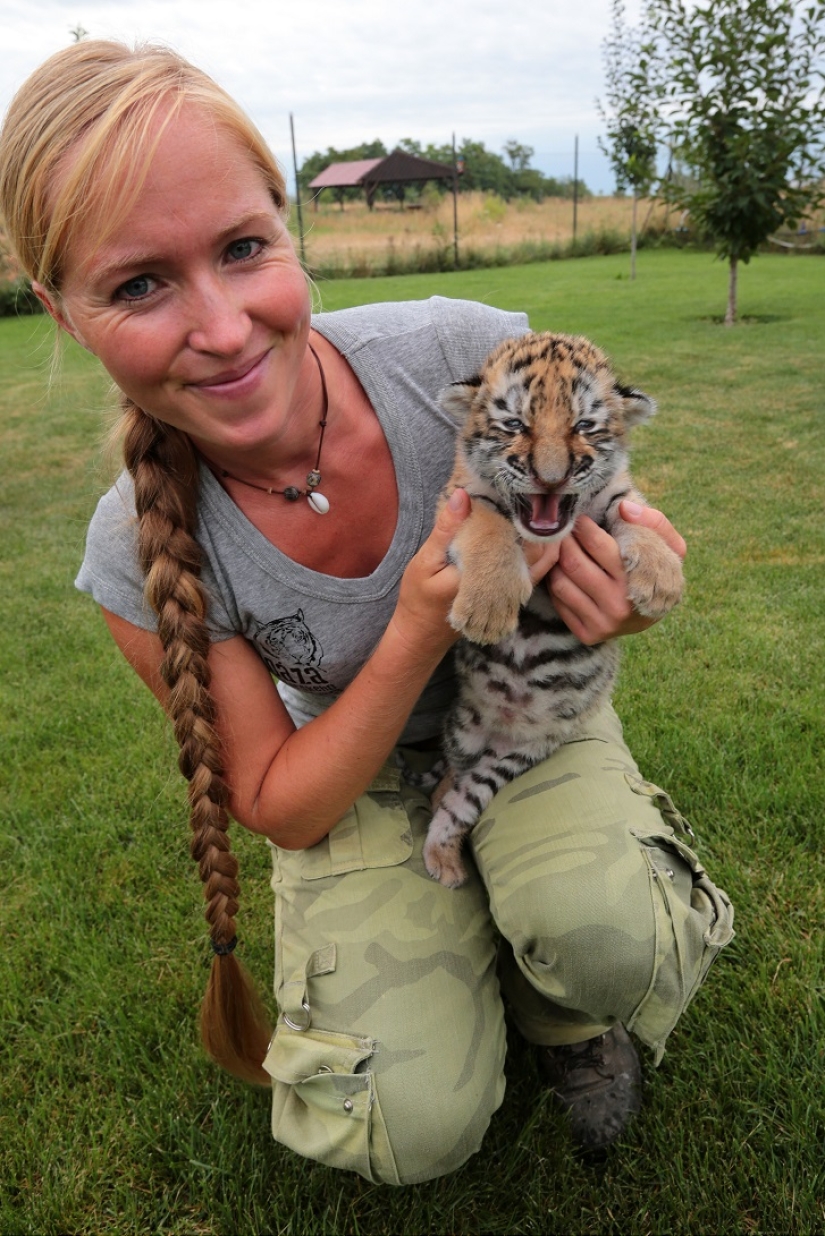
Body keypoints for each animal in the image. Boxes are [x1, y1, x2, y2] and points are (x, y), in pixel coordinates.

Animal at [419, 331, 685, 888]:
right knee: (446, 781)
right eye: (515, 425)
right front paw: (487, 609)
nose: (550, 478)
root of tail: (505, 728)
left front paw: (662, 577)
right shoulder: (460, 498)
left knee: (456, 807)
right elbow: (489, 525)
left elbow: (636, 510)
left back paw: (446, 862)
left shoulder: (615, 497)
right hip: (463, 732)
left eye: (583, 427)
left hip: (507, 762)